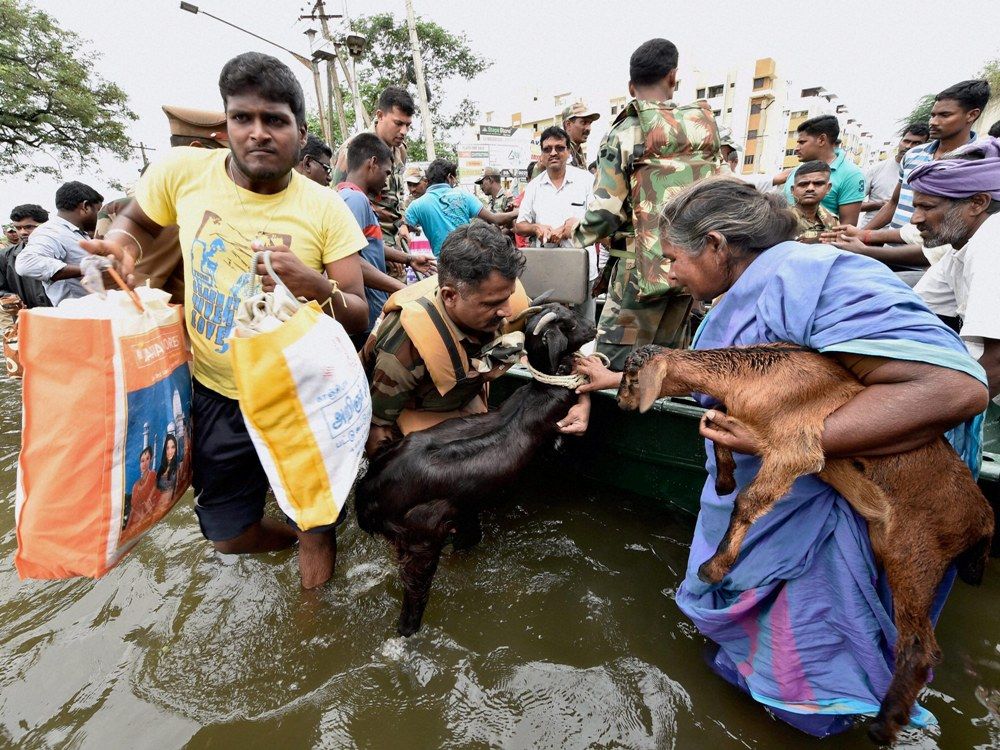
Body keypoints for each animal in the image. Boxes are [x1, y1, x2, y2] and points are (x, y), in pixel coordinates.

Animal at [358, 302, 592, 636]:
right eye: (569, 325)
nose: (594, 329)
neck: (540, 391)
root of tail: (367, 496)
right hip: (421, 540)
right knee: (414, 595)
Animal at [616, 344, 992, 748]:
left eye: (632, 377)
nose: (620, 401)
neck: (756, 374)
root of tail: (983, 521)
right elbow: (716, 430)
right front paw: (724, 481)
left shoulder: (795, 448)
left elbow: (749, 501)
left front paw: (714, 567)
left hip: (915, 550)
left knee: (921, 647)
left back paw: (884, 725)